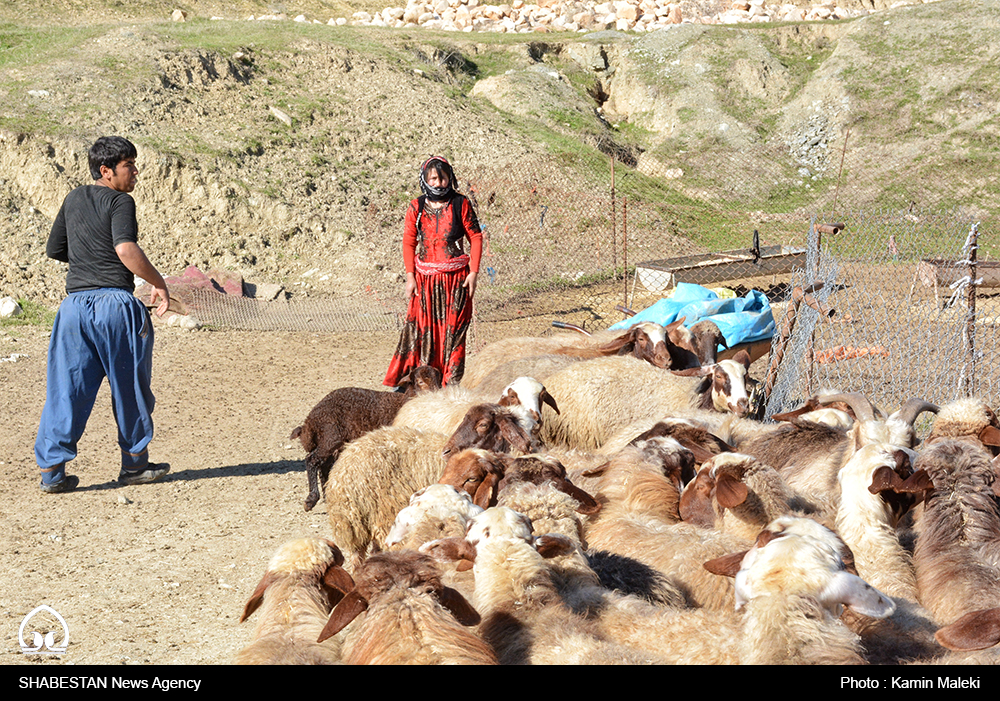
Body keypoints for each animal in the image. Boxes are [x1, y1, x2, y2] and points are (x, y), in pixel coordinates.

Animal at [292, 366, 444, 508]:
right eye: (420, 382)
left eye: (439, 380)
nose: (436, 395)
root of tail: (310, 421)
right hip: (330, 436)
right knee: (312, 460)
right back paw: (311, 499)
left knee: (324, 466)